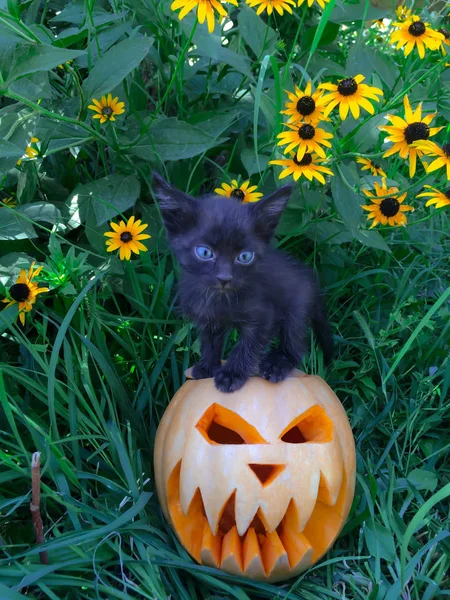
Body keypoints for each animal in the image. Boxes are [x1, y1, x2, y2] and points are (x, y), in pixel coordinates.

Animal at [153, 172, 332, 394]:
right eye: (204, 252)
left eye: (245, 256)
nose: (224, 278)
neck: (220, 298)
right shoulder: (208, 317)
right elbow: (210, 342)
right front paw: (207, 367)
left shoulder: (264, 316)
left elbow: (248, 346)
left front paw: (231, 374)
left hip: (297, 307)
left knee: (295, 345)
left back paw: (276, 364)